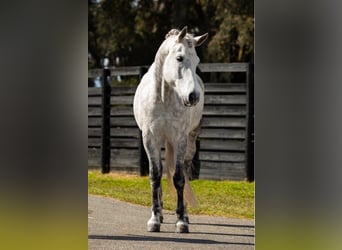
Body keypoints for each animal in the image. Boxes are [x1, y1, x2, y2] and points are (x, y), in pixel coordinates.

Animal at [134, 26, 208, 232]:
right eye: (179, 58)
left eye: (197, 61)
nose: (193, 97)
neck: (164, 98)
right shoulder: (150, 139)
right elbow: (155, 176)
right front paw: (154, 219)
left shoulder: (180, 139)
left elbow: (179, 178)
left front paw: (181, 221)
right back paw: (159, 214)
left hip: (188, 142)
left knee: (185, 171)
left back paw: (184, 214)